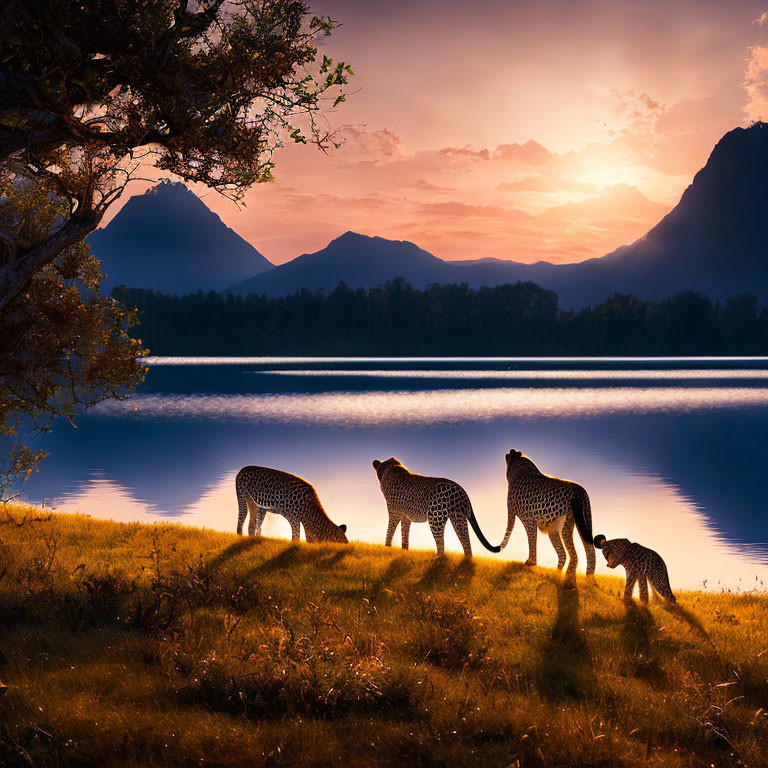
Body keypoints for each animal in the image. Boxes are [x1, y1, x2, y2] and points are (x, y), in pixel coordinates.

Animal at [374, 456, 504, 560]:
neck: (389, 469)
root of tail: (462, 490)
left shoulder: (394, 513)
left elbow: (390, 531)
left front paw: (387, 548)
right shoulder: (406, 517)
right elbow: (404, 533)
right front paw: (404, 551)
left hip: (435, 518)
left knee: (441, 543)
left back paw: (437, 560)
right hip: (459, 517)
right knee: (466, 542)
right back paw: (466, 562)